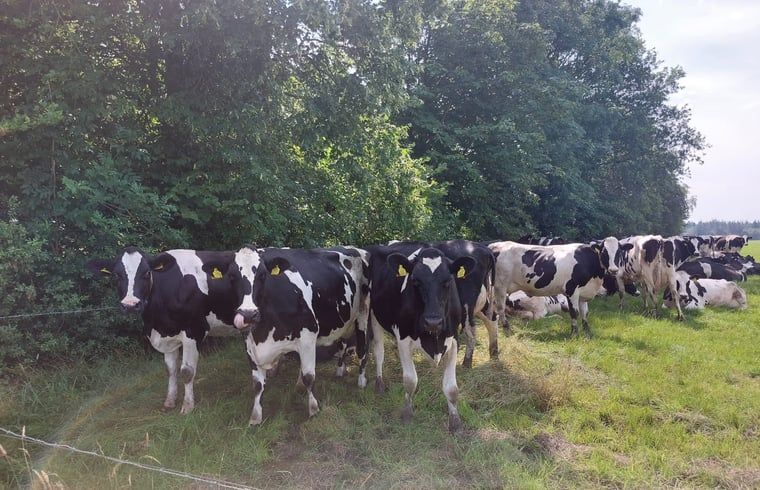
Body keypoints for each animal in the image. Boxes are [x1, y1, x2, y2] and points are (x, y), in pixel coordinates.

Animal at [87, 248, 239, 414]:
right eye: (116, 275)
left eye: (147, 272)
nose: (130, 305)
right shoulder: (166, 336)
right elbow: (170, 370)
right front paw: (169, 401)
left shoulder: (194, 331)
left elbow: (187, 372)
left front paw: (187, 406)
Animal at [203, 245, 370, 426]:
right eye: (232, 276)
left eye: (262, 275)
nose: (248, 315)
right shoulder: (250, 344)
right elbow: (257, 384)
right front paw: (255, 418)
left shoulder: (308, 337)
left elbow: (309, 377)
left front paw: (314, 410)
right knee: (343, 343)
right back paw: (339, 371)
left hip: (363, 313)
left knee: (362, 349)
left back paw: (361, 381)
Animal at [367, 244, 475, 432]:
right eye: (416, 281)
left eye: (447, 282)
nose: (433, 321)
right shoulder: (403, 339)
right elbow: (410, 380)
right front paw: (407, 414)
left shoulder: (454, 340)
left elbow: (452, 388)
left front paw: (455, 422)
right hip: (374, 315)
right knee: (379, 351)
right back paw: (379, 384)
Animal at [488, 237, 621, 337]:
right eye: (604, 251)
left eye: (618, 252)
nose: (614, 270)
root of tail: (494, 246)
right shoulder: (571, 290)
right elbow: (574, 312)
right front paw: (574, 334)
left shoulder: (583, 293)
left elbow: (585, 313)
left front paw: (587, 334)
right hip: (500, 286)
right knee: (500, 308)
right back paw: (507, 329)